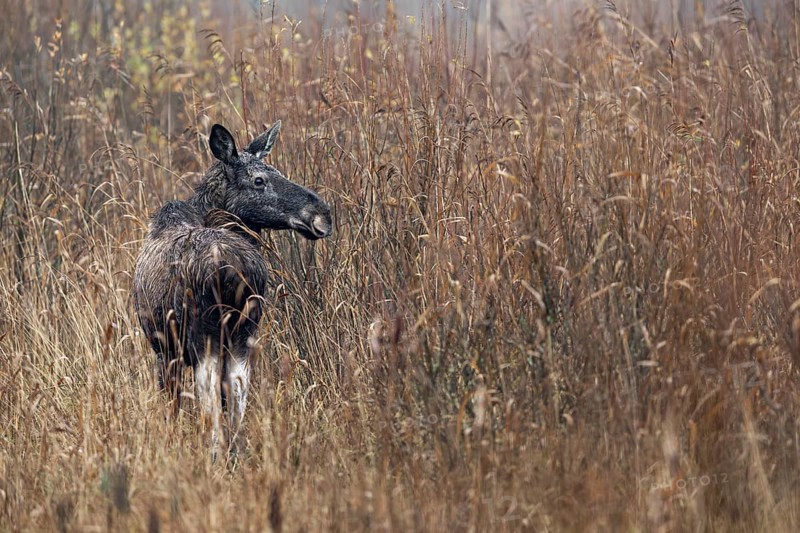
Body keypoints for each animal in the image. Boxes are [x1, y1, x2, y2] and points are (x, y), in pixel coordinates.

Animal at [132, 121, 332, 458]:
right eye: (259, 180)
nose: (322, 214)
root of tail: (229, 268)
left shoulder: (164, 348)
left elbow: (172, 406)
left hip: (206, 335)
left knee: (211, 392)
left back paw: (216, 453)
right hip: (243, 330)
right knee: (238, 387)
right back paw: (236, 452)